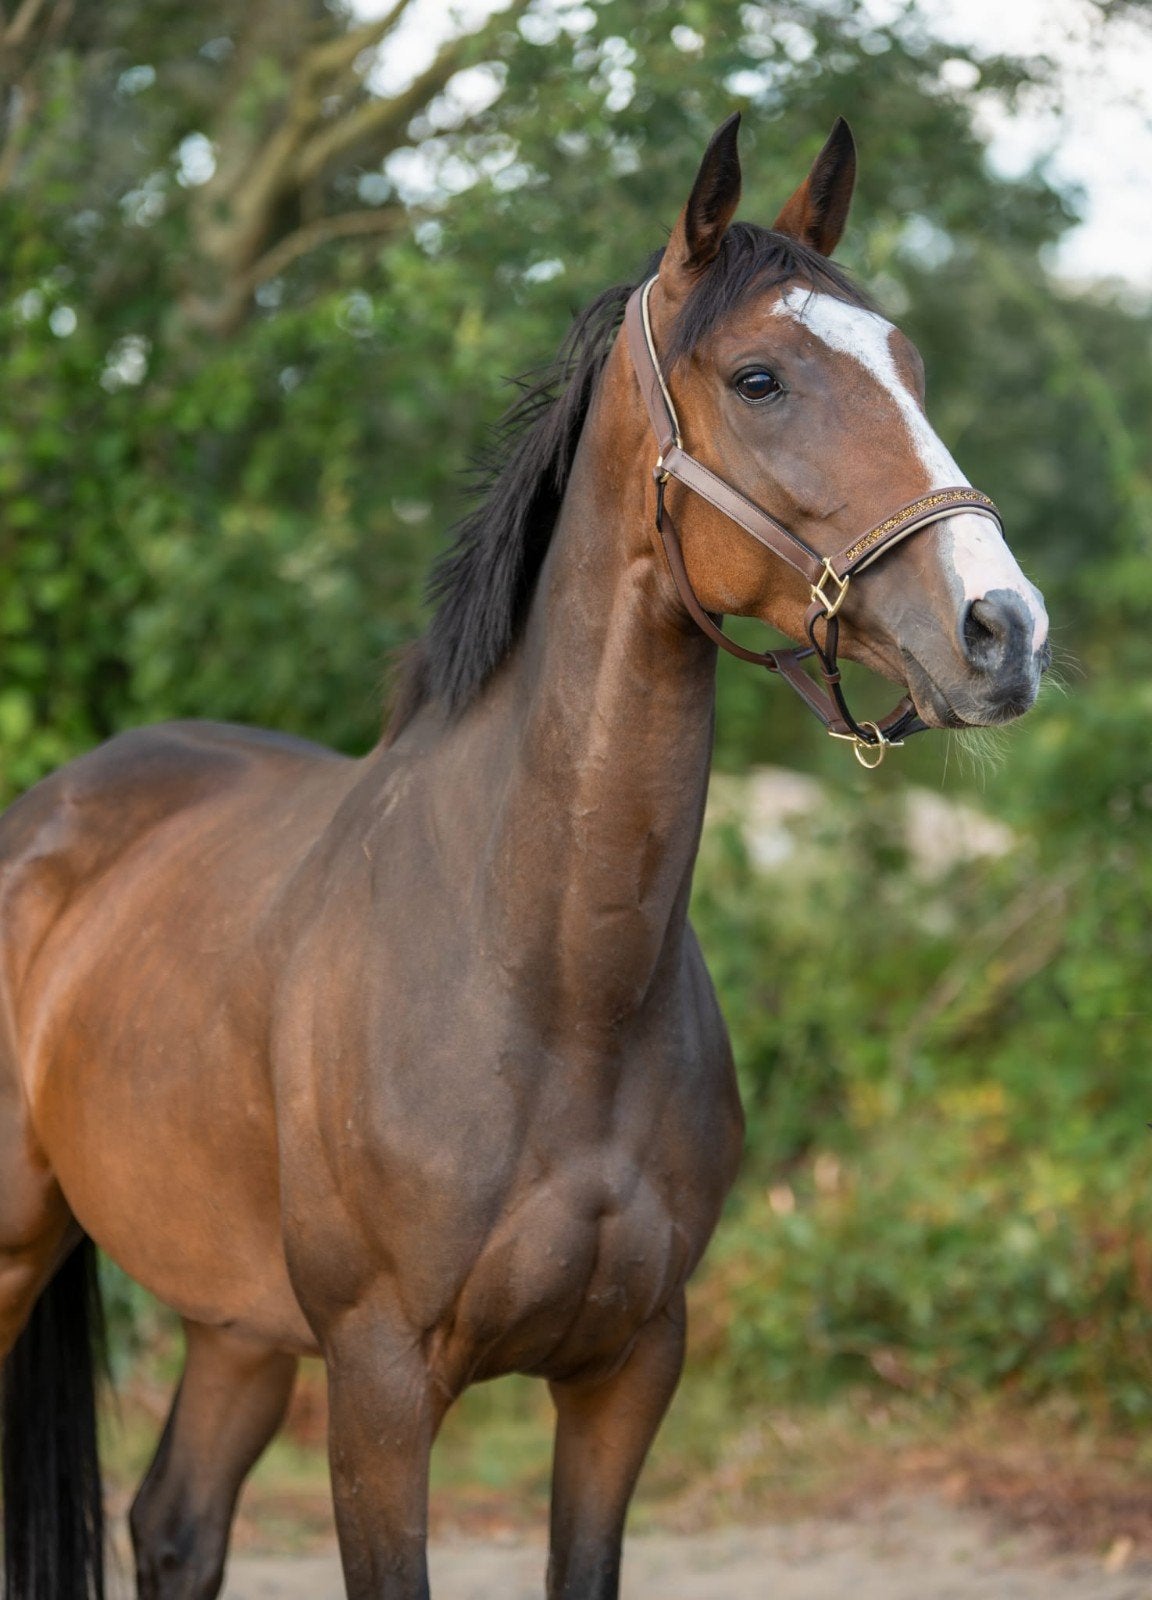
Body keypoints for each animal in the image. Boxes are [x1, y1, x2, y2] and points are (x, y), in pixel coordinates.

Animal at [0, 113, 1048, 1600]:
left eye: (909, 365)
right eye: (762, 378)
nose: (1003, 630)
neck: (548, 975)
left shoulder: (628, 1374)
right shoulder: (381, 1389)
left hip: (237, 1325)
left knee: (175, 1525)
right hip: (25, 1253)